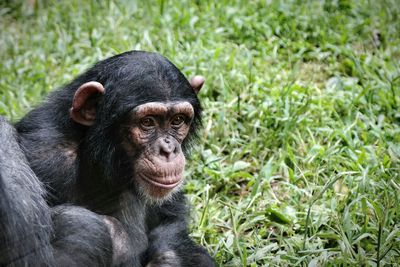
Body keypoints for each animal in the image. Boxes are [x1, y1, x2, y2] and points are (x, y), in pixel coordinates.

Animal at [0, 51, 216, 266]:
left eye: (177, 120)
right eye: (147, 122)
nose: (168, 149)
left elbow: (170, 219)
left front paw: (167, 259)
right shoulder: (46, 158)